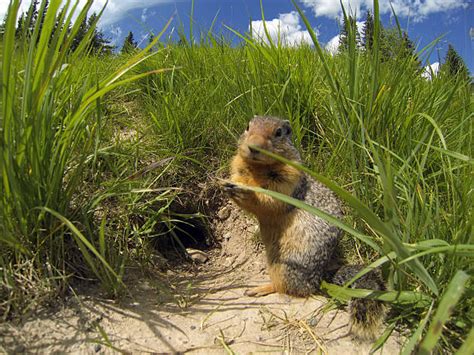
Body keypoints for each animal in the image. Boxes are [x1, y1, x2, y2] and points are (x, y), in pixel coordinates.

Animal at [224, 115, 386, 340]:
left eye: (279, 132)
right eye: (248, 126)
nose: (253, 146)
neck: (258, 169)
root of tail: (319, 277)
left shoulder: (288, 179)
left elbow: (270, 200)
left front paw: (248, 193)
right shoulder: (238, 166)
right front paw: (228, 186)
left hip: (285, 265)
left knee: (289, 288)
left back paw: (261, 288)